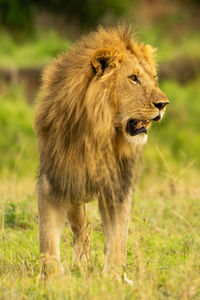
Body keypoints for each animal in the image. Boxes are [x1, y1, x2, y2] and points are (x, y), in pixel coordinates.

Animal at [34, 24, 169, 282]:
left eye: (154, 79)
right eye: (133, 78)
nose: (163, 104)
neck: (100, 132)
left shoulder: (117, 186)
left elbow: (118, 238)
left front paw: (115, 277)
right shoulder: (54, 181)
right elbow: (47, 240)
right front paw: (54, 279)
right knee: (81, 231)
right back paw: (81, 263)